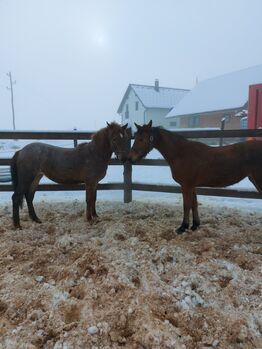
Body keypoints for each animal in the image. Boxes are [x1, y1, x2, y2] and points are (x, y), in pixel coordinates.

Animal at [128, 121, 262, 232]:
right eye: (135, 138)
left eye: (141, 139)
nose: (130, 158)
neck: (181, 153)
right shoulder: (192, 186)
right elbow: (194, 204)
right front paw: (195, 225)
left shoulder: (186, 185)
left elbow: (186, 205)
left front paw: (183, 227)